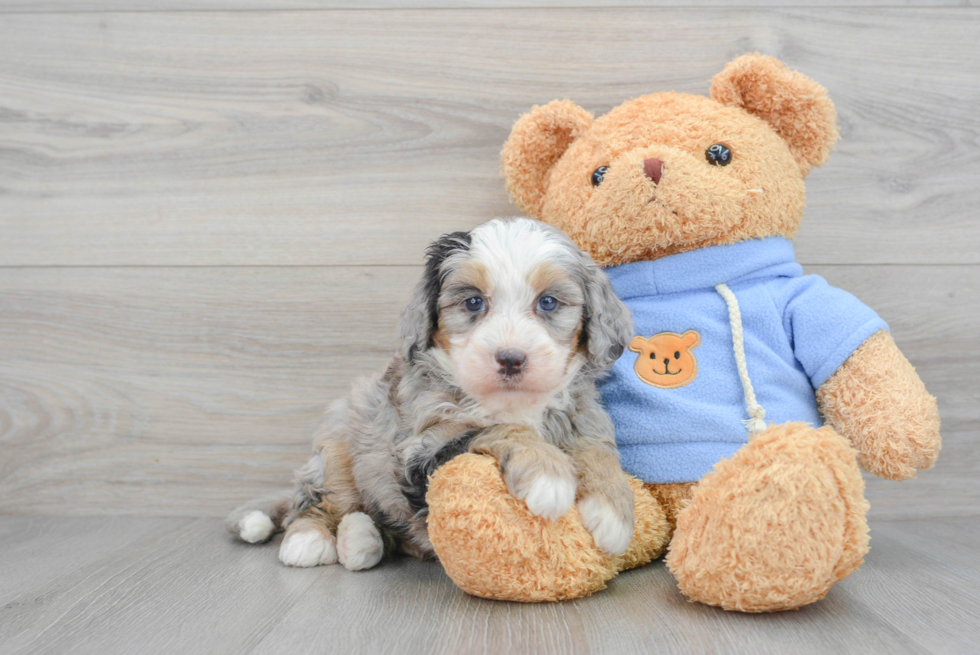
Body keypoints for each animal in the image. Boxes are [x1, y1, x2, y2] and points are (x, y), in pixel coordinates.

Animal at [226, 218, 632, 572]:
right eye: (473, 302)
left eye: (548, 302)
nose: (511, 359)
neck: (513, 402)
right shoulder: (424, 448)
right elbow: (497, 429)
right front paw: (547, 472)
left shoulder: (584, 417)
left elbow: (598, 450)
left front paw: (613, 510)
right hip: (339, 447)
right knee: (318, 501)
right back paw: (309, 540)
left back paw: (361, 540)